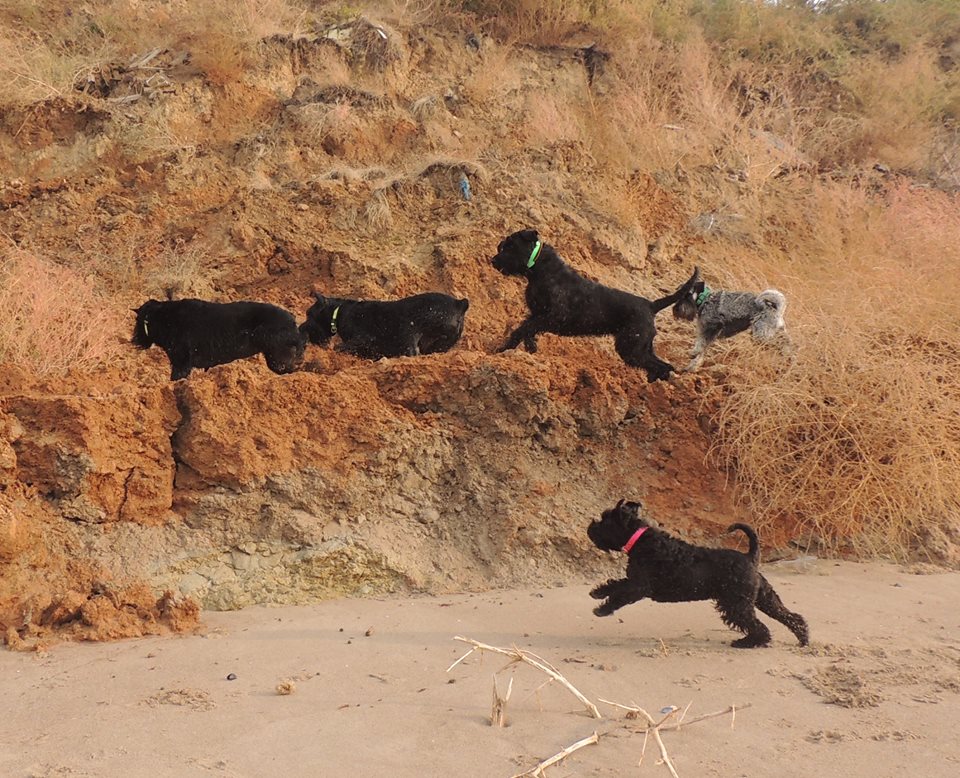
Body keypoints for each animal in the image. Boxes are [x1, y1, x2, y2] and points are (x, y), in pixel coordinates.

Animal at [132, 299, 305, 380]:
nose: (134, 340)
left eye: (138, 321)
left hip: (277, 358)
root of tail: (292, 320)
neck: (165, 318)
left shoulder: (181, 361)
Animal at [299, 292, 469, 359]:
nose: (300, 328)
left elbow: (340, 347)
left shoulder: (363, 339)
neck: (339, 312)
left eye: (309, 314)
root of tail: (459, 304)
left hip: (411, 335)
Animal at [491, 229, 690, 382]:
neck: (539, 267)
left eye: (510, 245)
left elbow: (522, 329)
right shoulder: (537, 314)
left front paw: (501, 349)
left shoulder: (551, 316)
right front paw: (530, 349)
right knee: (662, 365)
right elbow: (527, 330)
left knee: (660, 366)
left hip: (631, 347)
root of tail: (651, 305)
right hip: (641, 346)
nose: (493, 260)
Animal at [587, 500, 809, 648]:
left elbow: (619, 594)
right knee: (790, 616)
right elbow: (615, 584)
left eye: (605, 521)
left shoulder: (639, 586)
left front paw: (602, 609)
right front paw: (597, 593)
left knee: (759, 626)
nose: (589, 528)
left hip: (736, 604)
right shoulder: (634, 581)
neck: (641, 540)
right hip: (763, 597)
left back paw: (746, 642)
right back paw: (803, 639)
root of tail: (749, 557)